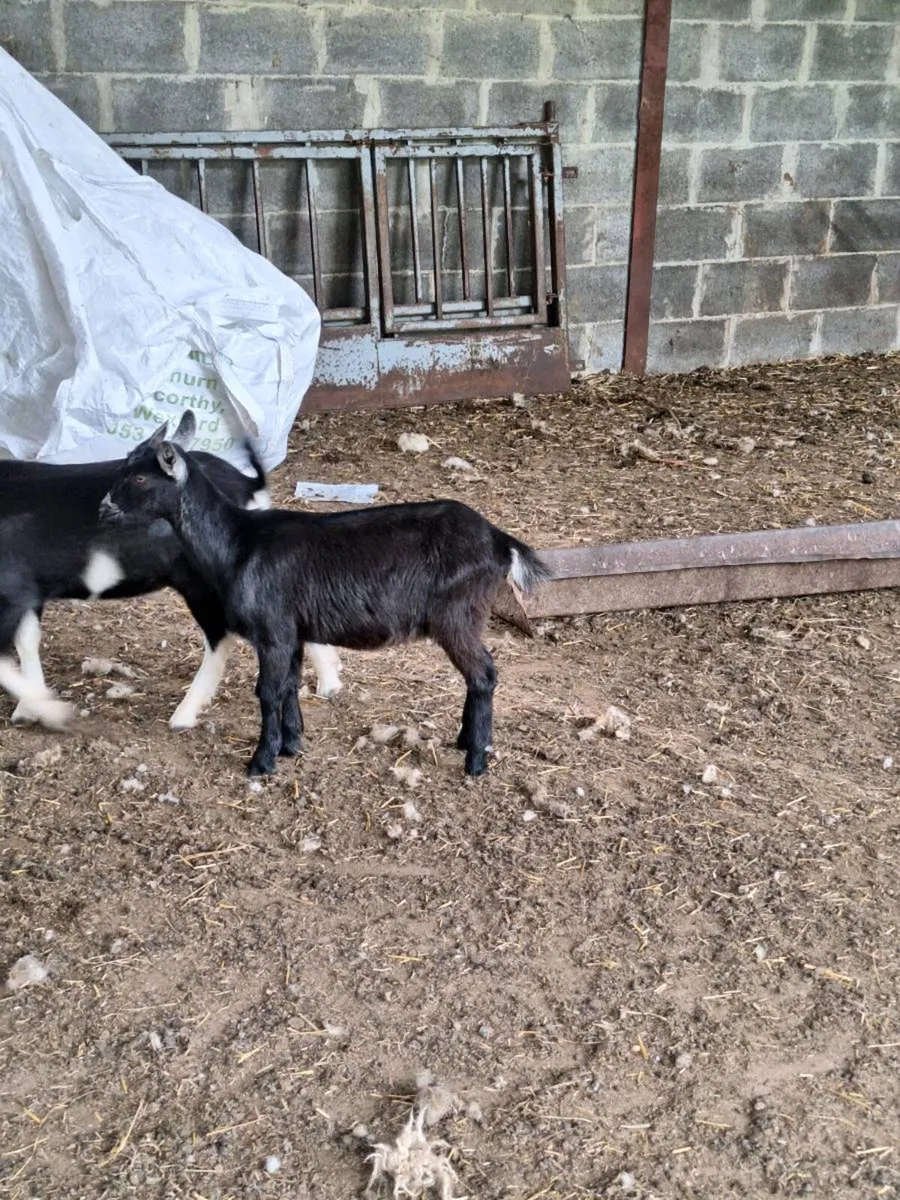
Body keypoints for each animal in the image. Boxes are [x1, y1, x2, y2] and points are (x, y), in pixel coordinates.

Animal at [0, 413, 342, 730]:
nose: (105, 509)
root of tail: (248, 486)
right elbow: (27, 640)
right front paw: (29, 708)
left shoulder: (16, 590)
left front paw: (43, 710)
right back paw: (330, 683)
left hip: (202, 584)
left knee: (220, 638)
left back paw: (184, 715)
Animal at [102, 412, 551, 777]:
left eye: (140, 476)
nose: (104, 507)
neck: (238, 544)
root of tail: (499, 540)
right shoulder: (293, 632)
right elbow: (288, 685)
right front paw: (291, 744)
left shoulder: (273, 630)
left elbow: (267, 691)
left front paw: (261, 761)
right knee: (478, 677)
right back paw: (465, 742)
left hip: (457, 615)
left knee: (483, 674)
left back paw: (476, 761)